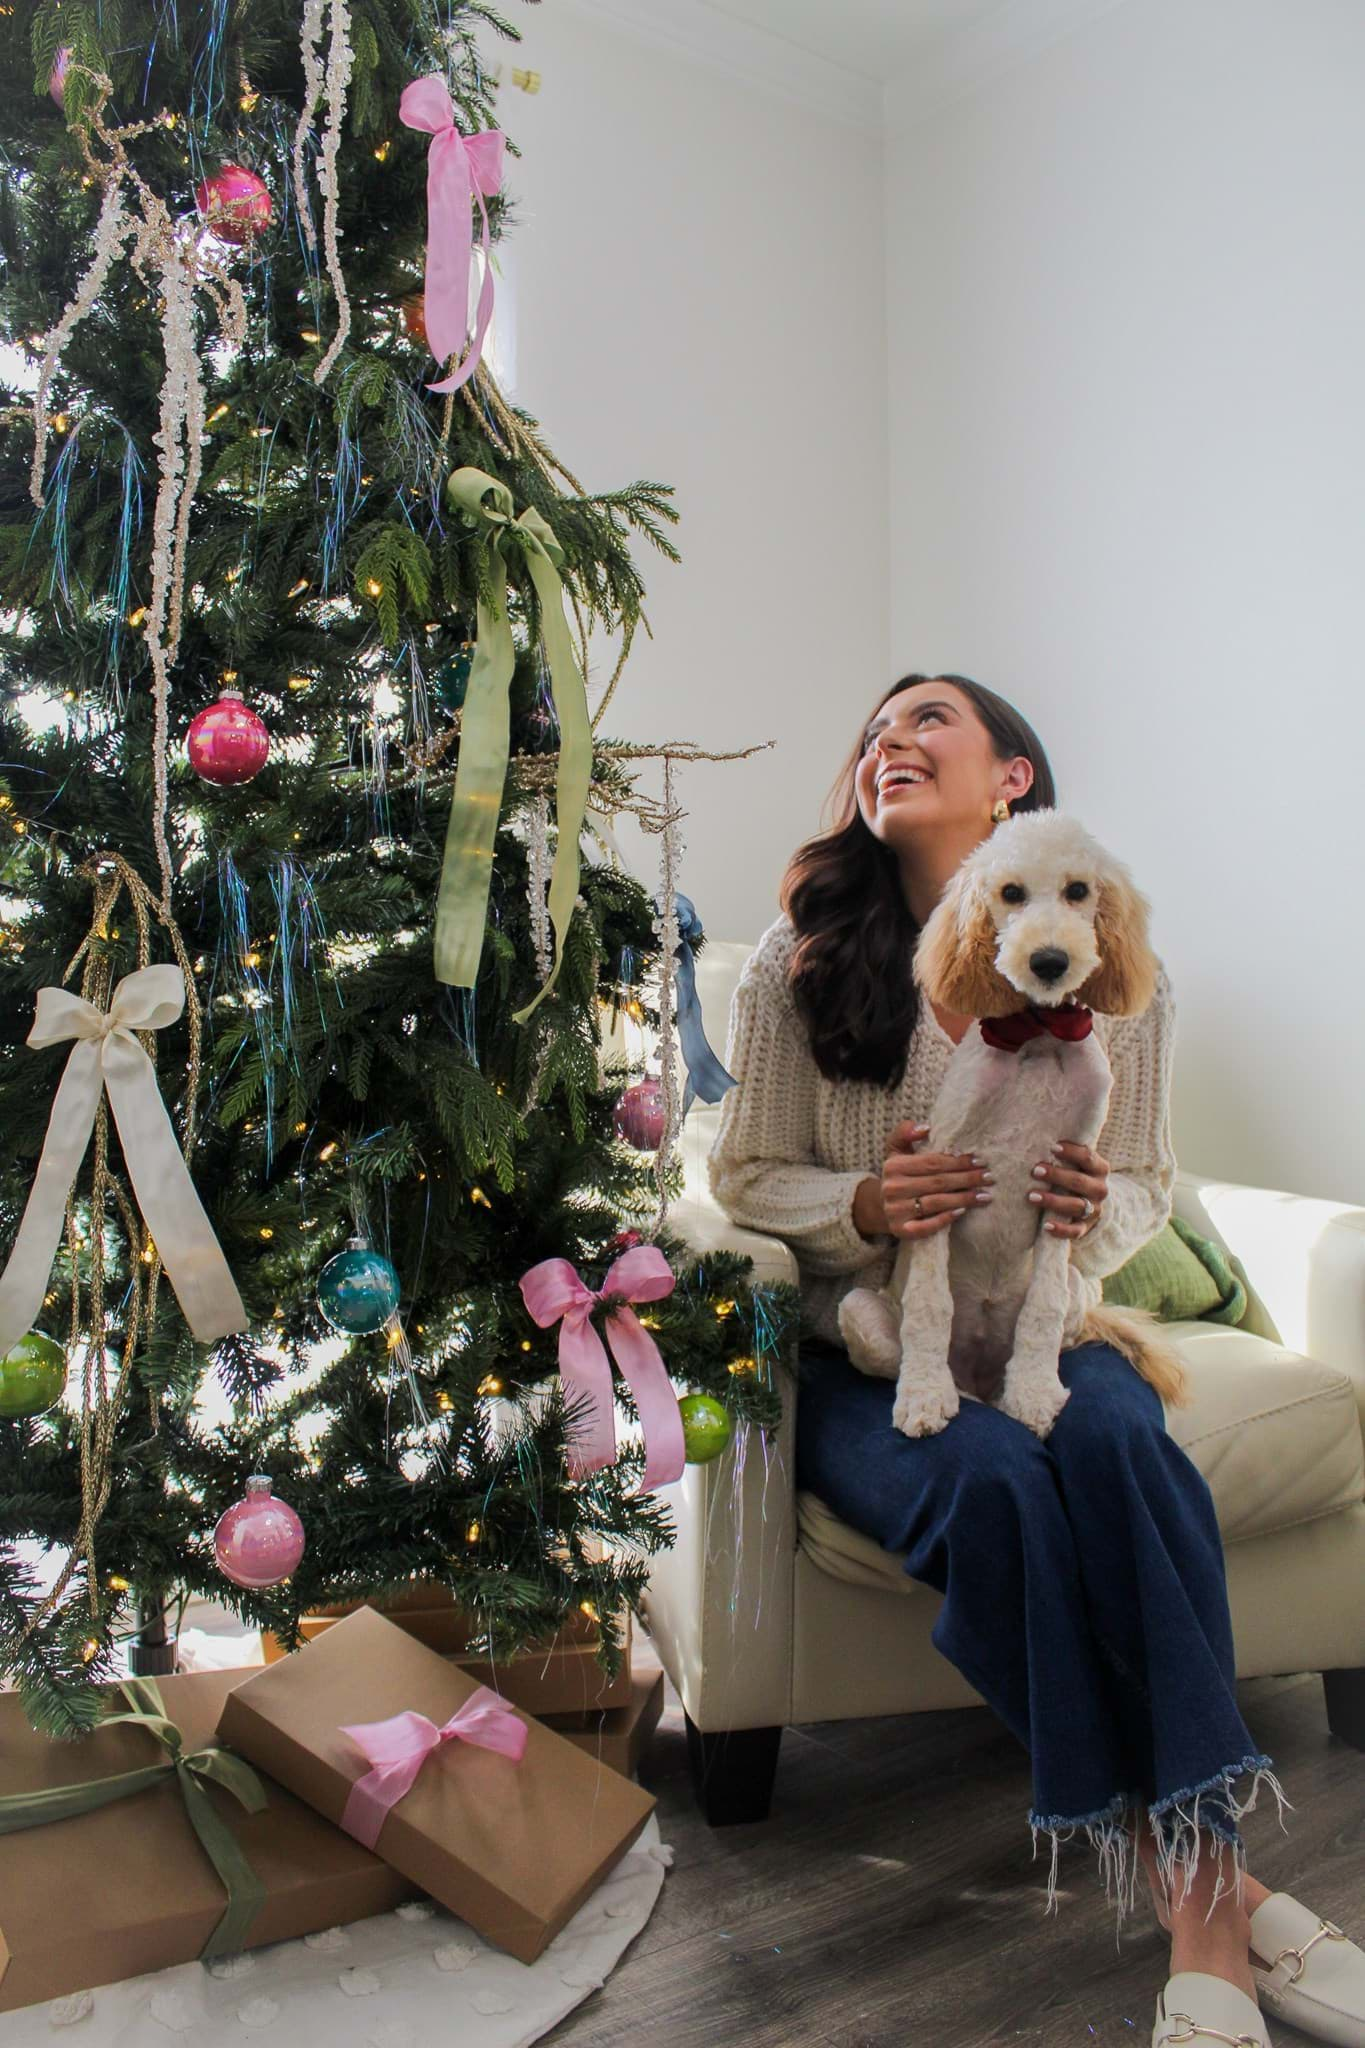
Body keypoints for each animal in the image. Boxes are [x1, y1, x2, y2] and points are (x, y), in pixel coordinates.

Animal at [839, 811, 1186, 1441]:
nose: (1049, 962)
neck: (1039, 1034)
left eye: (1079, 890)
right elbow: (929, 1307)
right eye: (1010, 894)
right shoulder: (941, 1171)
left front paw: (1034, 1393)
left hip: (1076, 1292)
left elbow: (1041, 1310)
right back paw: (949, 1389)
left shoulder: (1065, 1186)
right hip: (860, 1312)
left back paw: (1009, 1393)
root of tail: (977, 1373)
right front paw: (923, 1395)